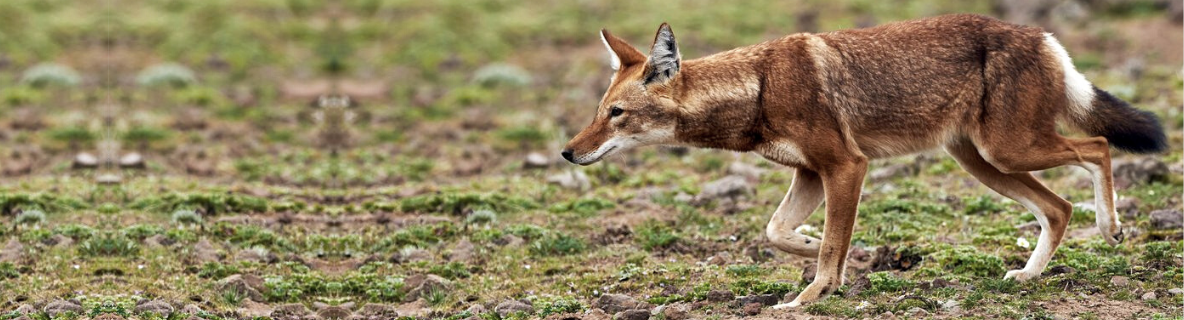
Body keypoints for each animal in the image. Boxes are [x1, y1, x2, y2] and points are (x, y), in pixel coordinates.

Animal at [561, 14, 1165, 308]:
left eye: (616, 113)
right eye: (598, 112)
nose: (568, 151)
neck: (758, 87)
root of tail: (1042, 34)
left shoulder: (846, 167)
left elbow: (830, 245)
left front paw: (808, 297)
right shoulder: (810, 173)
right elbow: (779, 232)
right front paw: (847, 253)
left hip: (1008, 150)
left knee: (1098, 147)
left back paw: (1110, 228)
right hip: (984, 162)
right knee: (1059, 207)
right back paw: (1029, 276)